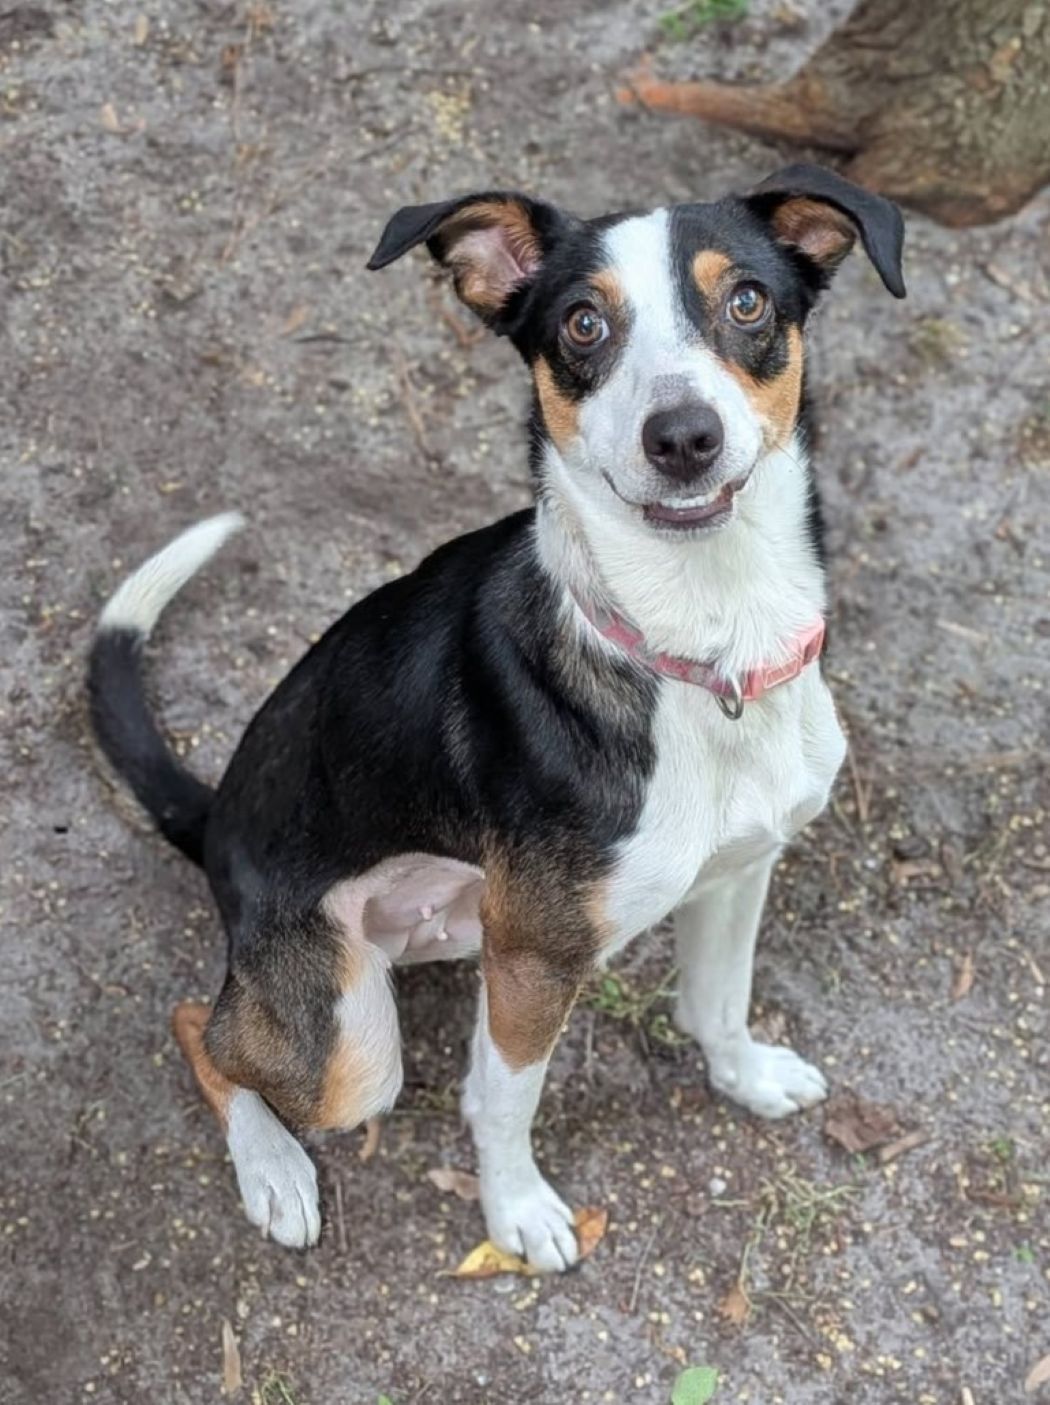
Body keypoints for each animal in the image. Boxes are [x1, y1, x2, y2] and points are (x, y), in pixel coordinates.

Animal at [89, 164, 905, 1272]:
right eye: (582, 323)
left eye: (747, 301)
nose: (683, 437)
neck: (701, 646)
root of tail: (212, 826)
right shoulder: (533, 957)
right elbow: (505, 1104)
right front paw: (516, 1211)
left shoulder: (741, 870)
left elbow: (717, 1002)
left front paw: (745, 1075)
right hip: (351, 1041)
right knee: (199, 1026)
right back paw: (273, 1169)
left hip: (454, 927)